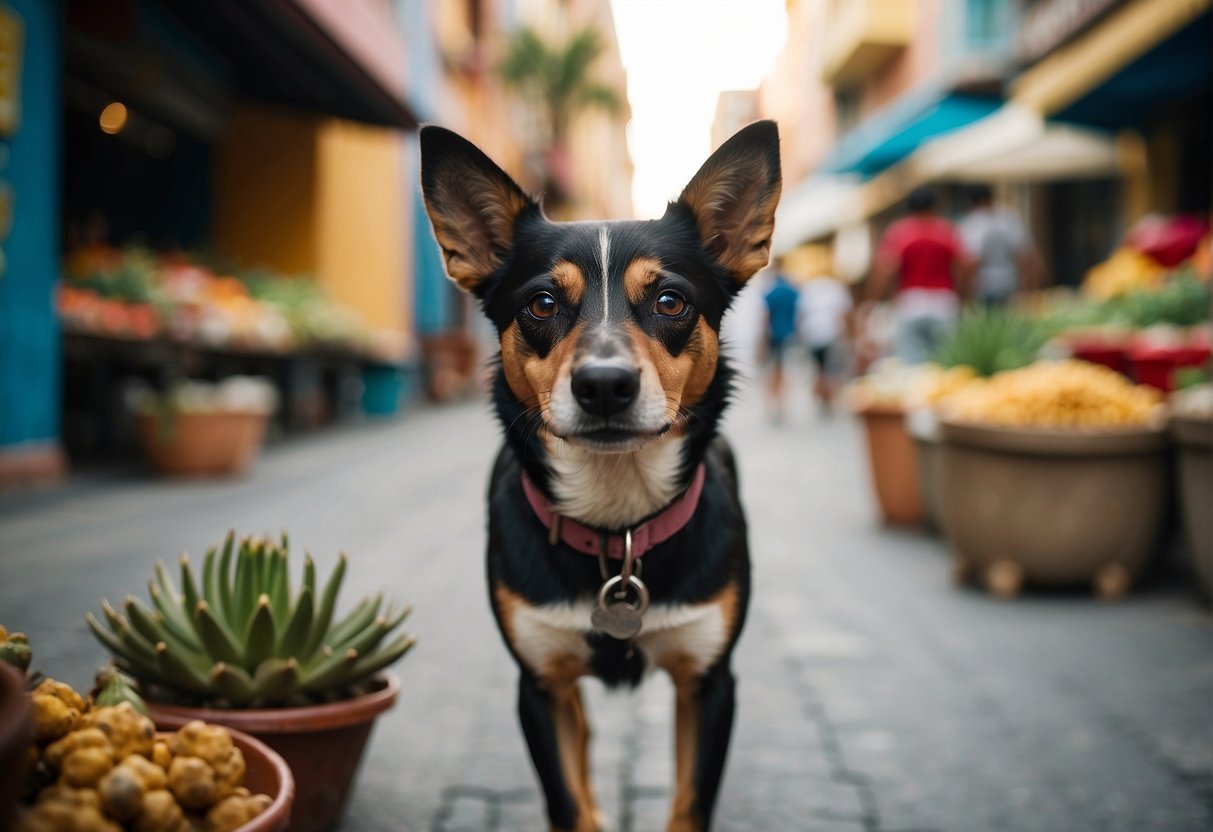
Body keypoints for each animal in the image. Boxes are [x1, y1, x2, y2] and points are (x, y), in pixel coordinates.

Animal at [422, 118, 781, 832]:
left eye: (670, 300)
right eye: (541, 304)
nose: (606, 385)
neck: (618, 521)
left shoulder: (710, 682)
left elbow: (689, 804)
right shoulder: (538, 686)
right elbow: (570, 801)